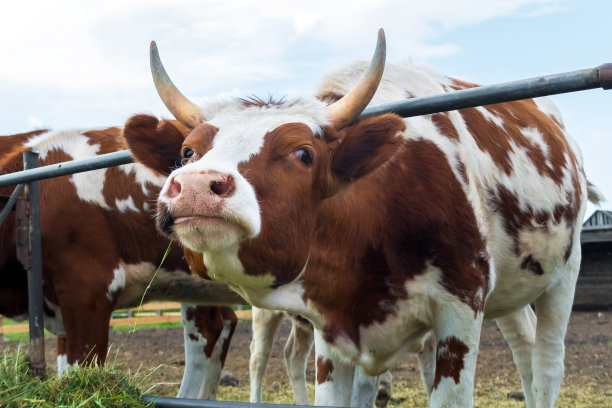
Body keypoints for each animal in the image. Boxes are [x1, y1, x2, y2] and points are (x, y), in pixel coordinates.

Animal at [123, 29, 604, 408]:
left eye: (304, 154)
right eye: (188, 151)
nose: (196, 184)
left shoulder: (461, 307)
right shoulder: (332, 330)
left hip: (564, 273)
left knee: (546, 363)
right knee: (523, 346)